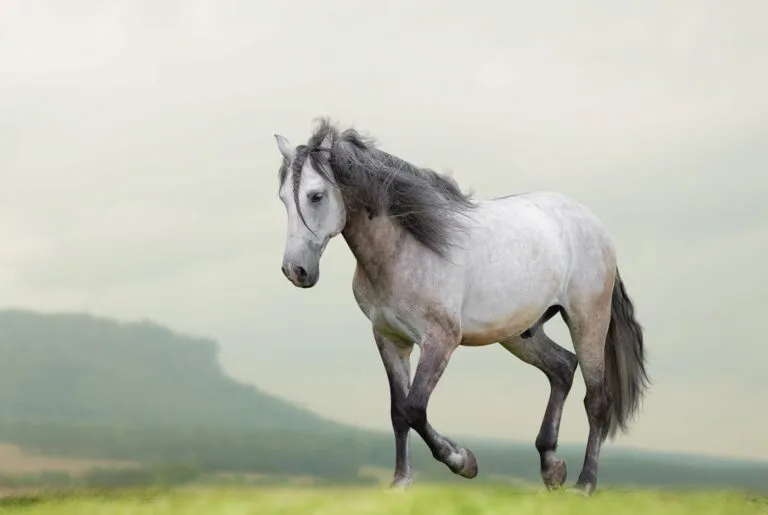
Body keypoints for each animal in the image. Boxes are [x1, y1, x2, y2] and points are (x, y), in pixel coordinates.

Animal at [270, 118, 648, 496]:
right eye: (283, 198)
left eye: (316, 195)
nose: (295, 271)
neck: (406, 247)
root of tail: (595, 226)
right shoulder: (390, 339)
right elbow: (398, 412)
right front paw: (400, 482)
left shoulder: (440, 340)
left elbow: (415, 408)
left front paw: (464, 462)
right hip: (520, 333)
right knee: (562, 368)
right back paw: (552, 468)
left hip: (587, 320)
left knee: (597, 398)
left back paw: (584, 484)